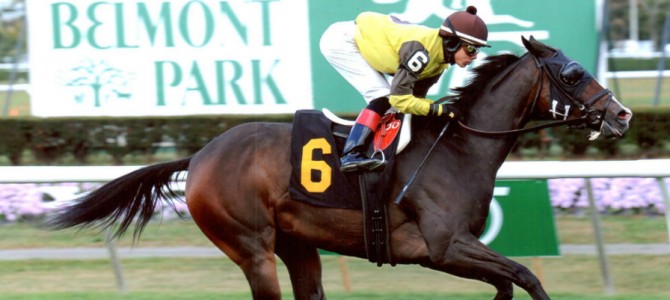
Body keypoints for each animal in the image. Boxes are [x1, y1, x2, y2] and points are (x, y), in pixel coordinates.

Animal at [50, 36, 632, 298]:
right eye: (574, 74)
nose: (622, 114)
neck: (459, 149)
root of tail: (198, 156)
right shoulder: (442, 247)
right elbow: (526, 275)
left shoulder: (453, 251)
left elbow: (510, 282)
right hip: (251, 247)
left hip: (299, 244)